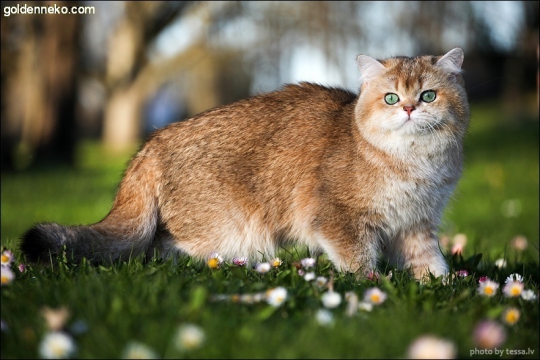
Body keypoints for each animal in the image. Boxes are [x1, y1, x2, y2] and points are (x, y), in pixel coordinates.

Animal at [20, 47, 468, 282]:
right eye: (391, 98)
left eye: (428, 96)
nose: (409, 108)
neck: (416, 163)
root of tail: (149, 145)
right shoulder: (337, 219)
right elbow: (358, 260)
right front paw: (372, 287)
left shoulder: (416, 225)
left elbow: (430, 262)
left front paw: (445, 285)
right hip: (230, 227)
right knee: (158, 252)